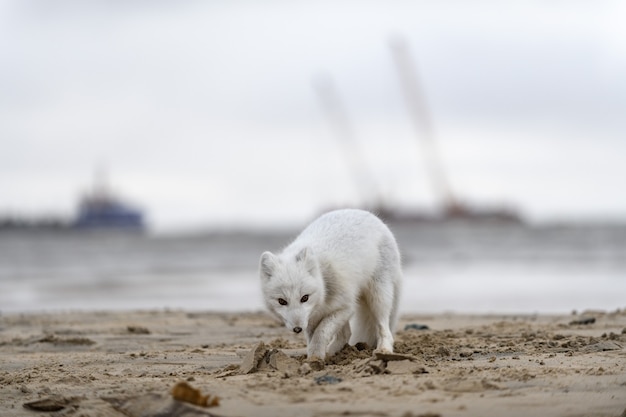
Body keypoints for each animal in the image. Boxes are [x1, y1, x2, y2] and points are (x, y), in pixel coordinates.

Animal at [258, 208, 400, 358]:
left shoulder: (346, 307)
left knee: (384, 328)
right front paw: (314, 356)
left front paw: (315, 357)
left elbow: (321, 332)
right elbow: (313, 336)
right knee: (346, 334)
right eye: (282, 301)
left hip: (378, 296)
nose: (297, 329)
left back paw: (384, 349)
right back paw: (332, 354)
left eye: (304, 298)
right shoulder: (312, 317)